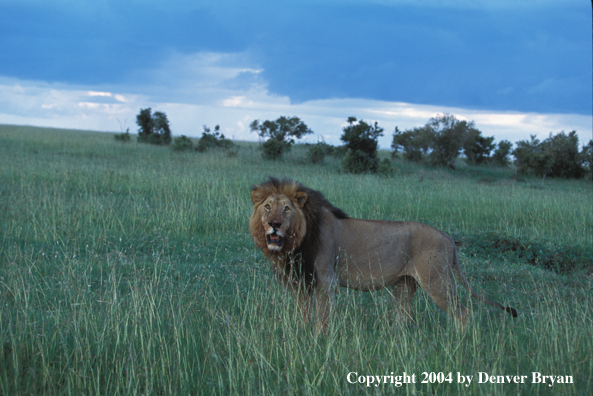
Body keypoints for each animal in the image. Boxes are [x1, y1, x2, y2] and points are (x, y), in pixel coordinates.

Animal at [247, 177, 516, 332]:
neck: (297, 241)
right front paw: (301, 333)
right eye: (267, 207)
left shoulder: (326, 279)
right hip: (406, 285)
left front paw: (319, 338)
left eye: (287, 209)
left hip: (437, 281)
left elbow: (322, 316)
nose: (274, 224)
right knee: (403, 318)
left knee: (463, 313)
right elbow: (302, 312)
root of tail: (449, 238)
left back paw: (458, 343)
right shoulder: (301, 281)